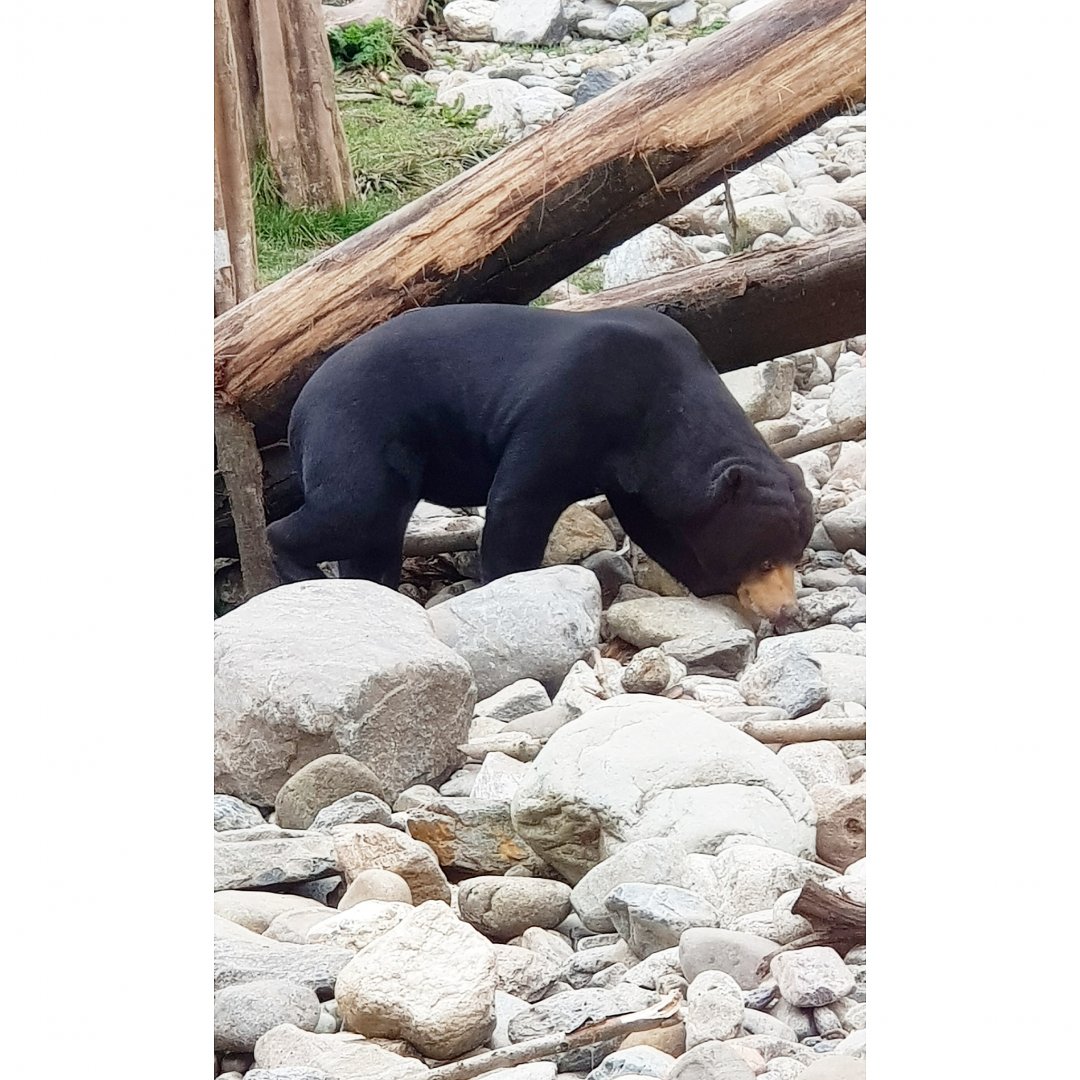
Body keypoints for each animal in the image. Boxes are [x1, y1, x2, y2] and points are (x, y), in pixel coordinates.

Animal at [267, 304, 814, 621]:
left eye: (796, 556)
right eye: (764, 559)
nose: (788, 611)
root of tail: (299, 408)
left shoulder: (640, 471)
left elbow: (655, 524)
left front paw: (705, 583)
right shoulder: (566, 409)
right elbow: (519, 499)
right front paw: (510, 582)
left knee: (374, 532)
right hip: (357, 432)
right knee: (352, 509)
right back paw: (303, 569)